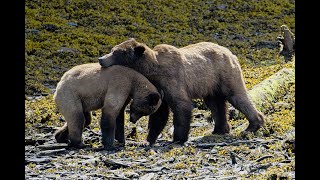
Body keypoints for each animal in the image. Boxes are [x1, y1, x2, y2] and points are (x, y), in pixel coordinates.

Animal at [98, 38, 264, 146]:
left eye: (115, 52)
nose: (101, 58)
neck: (153, 71)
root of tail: (230, 52)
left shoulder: (172, 80)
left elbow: (181, 105)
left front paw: (178, 138)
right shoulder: (158, 89)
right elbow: (159, 114)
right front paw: (147, 140)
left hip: (224, 74)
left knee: (237, 96)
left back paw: (252, 126)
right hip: (210, 84)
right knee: (216, 105)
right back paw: (219, 129)